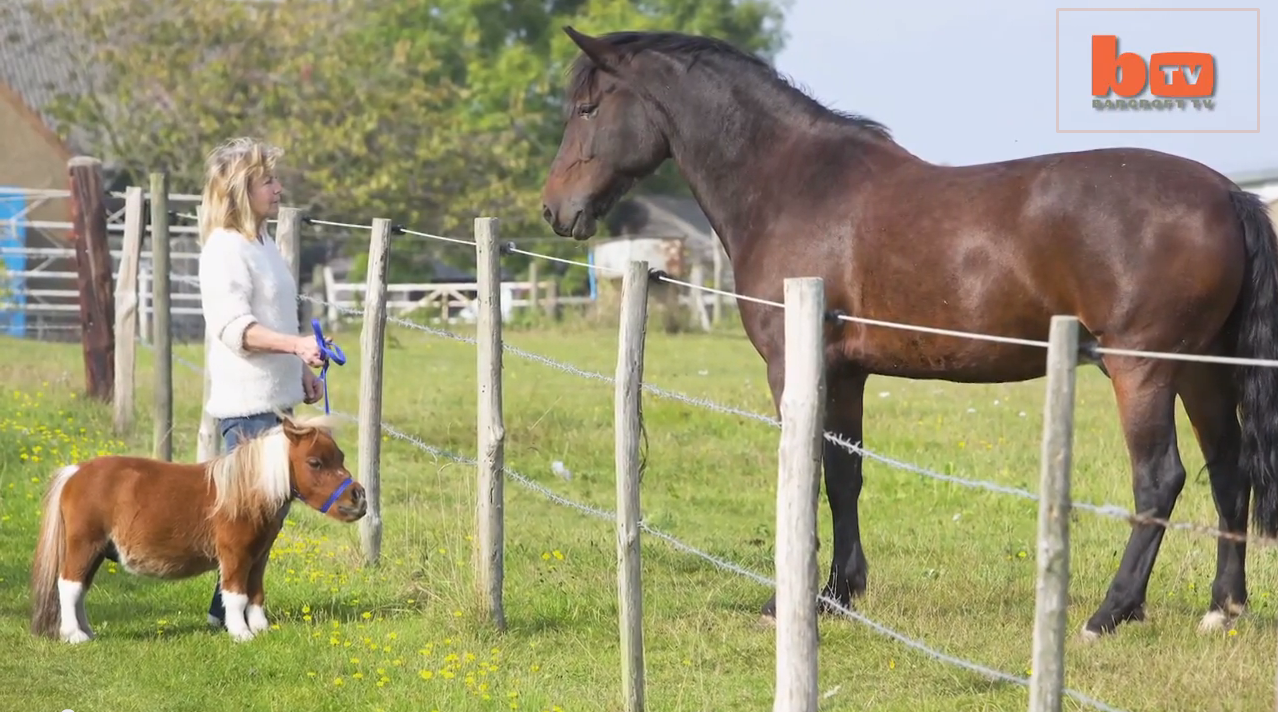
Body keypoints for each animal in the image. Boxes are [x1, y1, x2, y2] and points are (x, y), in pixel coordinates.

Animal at [30, 409, 368, 641]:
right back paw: (74, 635)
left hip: (96, 551)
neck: (245, 491)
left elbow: (256, 592)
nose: (359, 498)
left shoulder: (259, 555)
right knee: (69, 586)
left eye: (340, 457)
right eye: (315, 463)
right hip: (84, 546)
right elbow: (236, 594)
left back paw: (86, 630)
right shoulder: (235, 555)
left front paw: (261, 628)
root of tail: (75, 472)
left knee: (79, 589)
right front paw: (241, 633)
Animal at [541, 26, 1278, 639]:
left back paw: (1109, 613)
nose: (555, 209)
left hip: (1142, 369)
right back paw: (1223, 607)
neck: (793, 186)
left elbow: (807, 471)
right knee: (1228, 470)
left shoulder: (792, 364)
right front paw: (839, 593)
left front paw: (790, 601)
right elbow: (844, 474)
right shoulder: (846, 372)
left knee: (1160, 480)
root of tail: (1227, 193)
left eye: (588, 108)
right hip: (1201, 370)